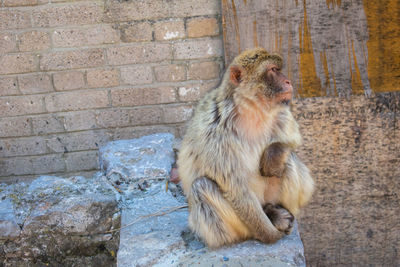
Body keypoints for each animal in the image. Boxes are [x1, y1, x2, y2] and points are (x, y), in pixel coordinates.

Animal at [177, 47, 314, 249]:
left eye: (278, 69)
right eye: (273, 70)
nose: (288, 81)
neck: (251, 111)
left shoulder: (280, 111)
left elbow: (294, 139)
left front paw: (274, 153)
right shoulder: (215, 132)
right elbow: (235, 188)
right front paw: (271, 236)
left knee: (288, 158)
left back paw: (274, 207)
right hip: (236, 227)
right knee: (201, 186)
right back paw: (268, 218)